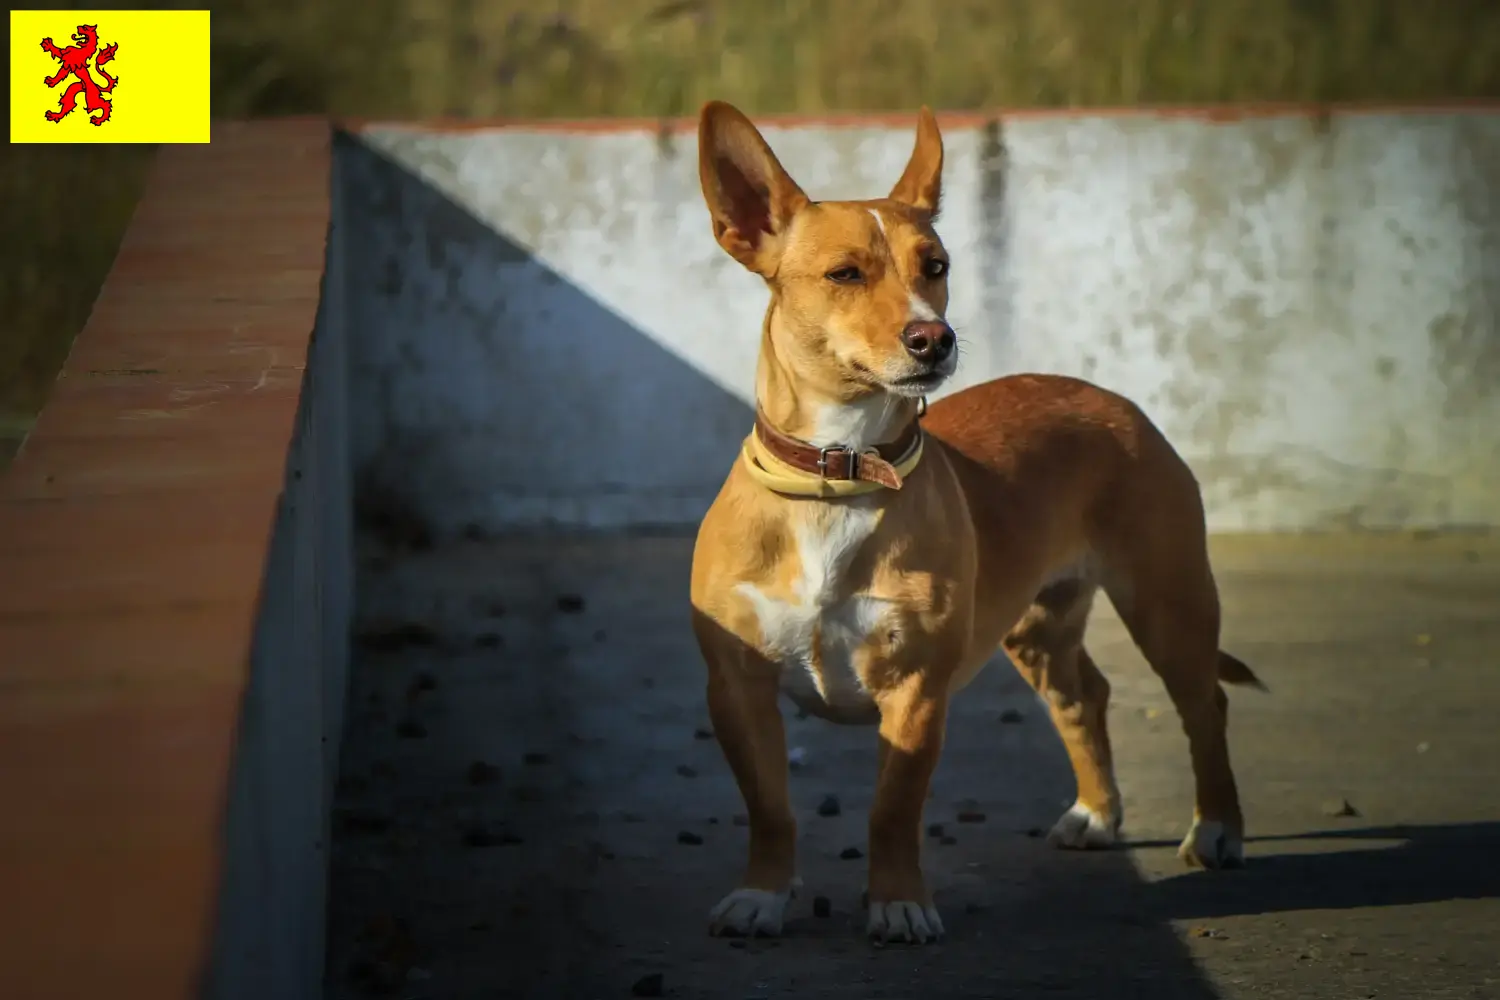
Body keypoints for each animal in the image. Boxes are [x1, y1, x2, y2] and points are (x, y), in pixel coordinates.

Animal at [690, 101, 1266, 947]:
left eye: (936, 266)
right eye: (844, 274)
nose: (935, 337)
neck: (839, 472)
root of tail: (1108, 398)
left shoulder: (916, 691)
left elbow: (893, 810)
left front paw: (898, 902)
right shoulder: (737, 688)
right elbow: (768, 807)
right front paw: (763, 894)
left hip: (1169, 606)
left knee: (1206, 708)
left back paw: (1218, 827)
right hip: (1037, 625)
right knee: (1083, 696)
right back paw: (1097, 813)